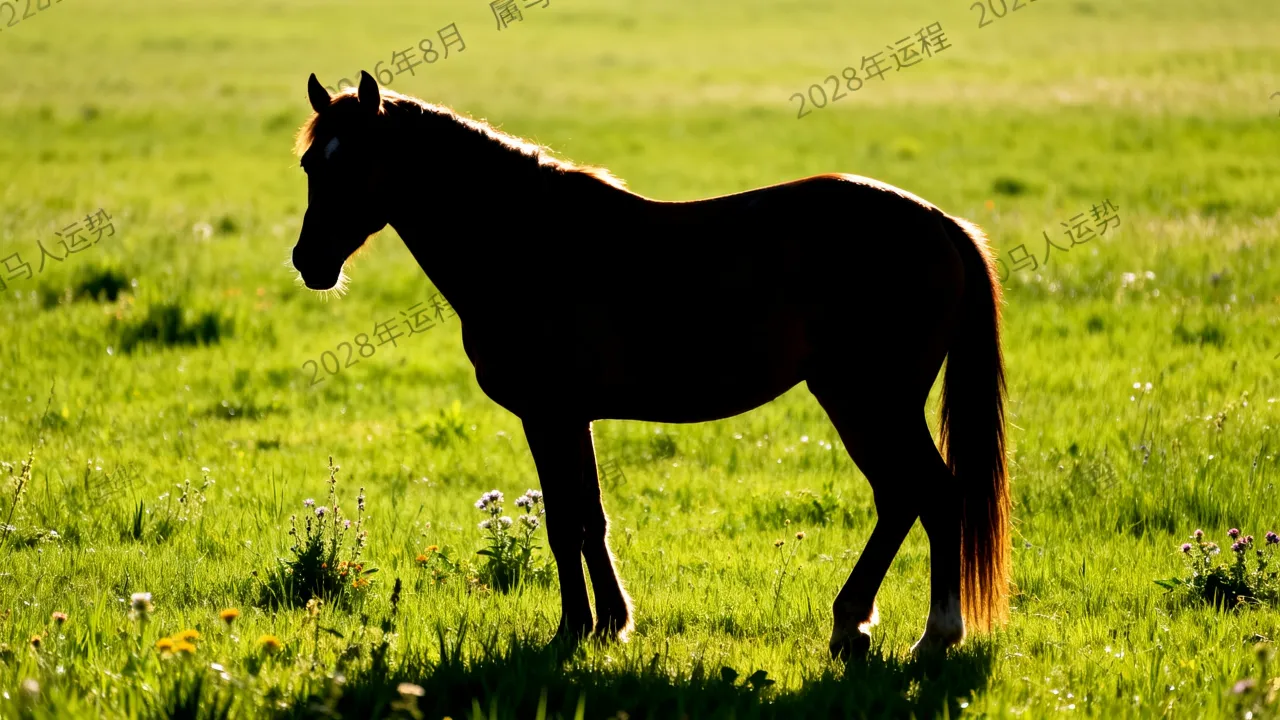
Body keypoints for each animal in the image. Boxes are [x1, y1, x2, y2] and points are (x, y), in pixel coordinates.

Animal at [290, 70, 1011, 660]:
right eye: (308, 164)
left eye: (357, 163)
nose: (308, 261)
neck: (527, 241)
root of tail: (939, 222)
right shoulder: (571, 417)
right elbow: (590, 516)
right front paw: (612, 623)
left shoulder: (547, 415)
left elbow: (563, 522)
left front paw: (573, 630)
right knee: (904, 498)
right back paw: (854, 624)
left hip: (869, 401)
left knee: (930, 495)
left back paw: (929, 635)